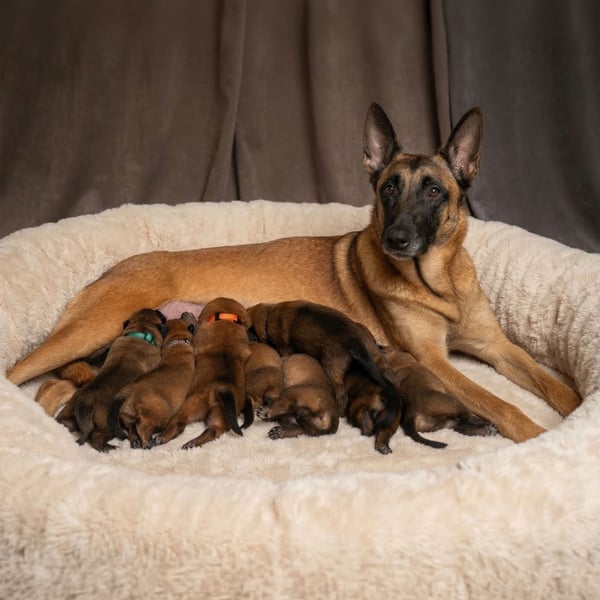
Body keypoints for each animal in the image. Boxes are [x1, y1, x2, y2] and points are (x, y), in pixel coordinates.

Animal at [56, 308, 166, 451]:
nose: (158, 310)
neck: (141, 329)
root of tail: (87, 398)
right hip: (106, 424)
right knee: (95, 438)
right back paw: (110, 448)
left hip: (71, 411)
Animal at [109, 312, 197, 449]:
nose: (184, 313)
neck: (176, 342)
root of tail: (126, 393)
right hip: (157, 413)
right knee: (141, 425)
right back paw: (147, 442)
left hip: (126, 416)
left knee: (131, 428)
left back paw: (136, 441)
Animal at [153, 297, 254, 449]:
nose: (185, 314)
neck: (226, 318)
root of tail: (223, 389)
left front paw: (189, 317)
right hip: (220, 417)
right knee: (213, 431)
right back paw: (193, 443)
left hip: (190, 406)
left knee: (179, 424)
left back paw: (163, 437)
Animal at [346, 347, 498, 453]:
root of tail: (412, 412)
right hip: (453, 403)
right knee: (466, 417)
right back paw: (485, 424)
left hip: (439, 423)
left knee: (458, 426)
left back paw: (484, 431)